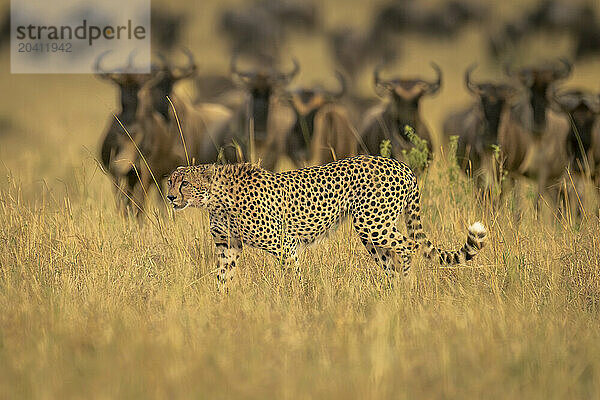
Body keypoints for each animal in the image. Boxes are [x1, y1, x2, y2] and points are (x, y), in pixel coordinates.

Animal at [165, 155, 488, 284]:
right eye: (170, 181)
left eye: (185, 184)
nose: (169, 197)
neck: (215, 198)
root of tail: (401, 164)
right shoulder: (228, 246)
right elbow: (222, 277)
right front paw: (220, 306)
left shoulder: (284, 244)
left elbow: (292, 276)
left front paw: (294, 303)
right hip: (372, 232)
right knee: (392, 259)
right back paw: (391, 295)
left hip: (372, 223)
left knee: (409, 247)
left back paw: (405, 289)